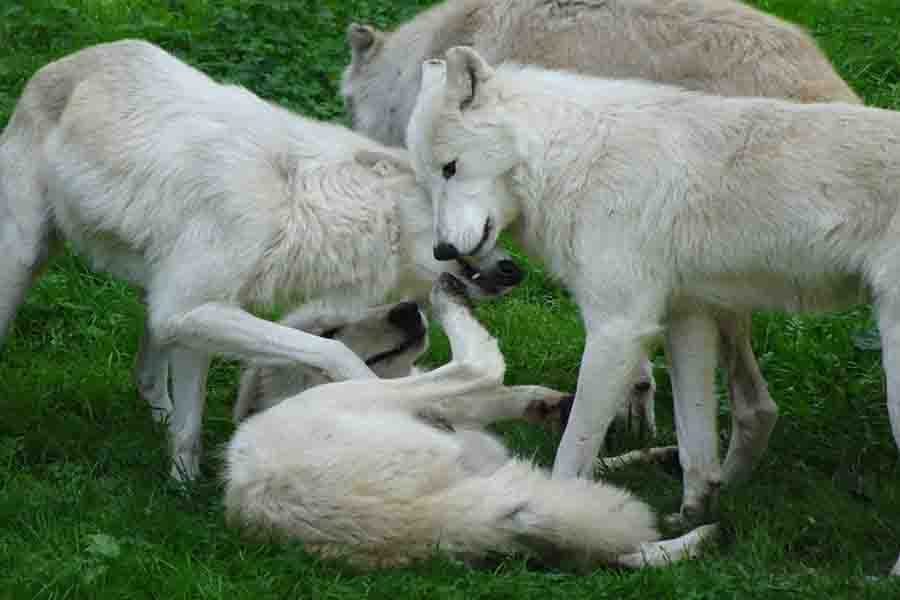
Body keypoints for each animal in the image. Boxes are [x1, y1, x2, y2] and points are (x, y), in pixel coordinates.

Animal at [0, 40, 524, 481]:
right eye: (450, 193)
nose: (513, 270)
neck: (298, 203)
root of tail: (59, 64)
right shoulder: (190, 309)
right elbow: (330, 351)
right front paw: (368, 393)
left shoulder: (195, 312)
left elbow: (189, 424)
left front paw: (184, 491)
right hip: (24, 266)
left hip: (160, 303)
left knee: (148, 378)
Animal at [407, 47, 900, 574]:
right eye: (427, 179)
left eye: (451, 168)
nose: (441, 250)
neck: (569, 161)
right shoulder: (688, 320)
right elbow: (695, 447)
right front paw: (692, 515)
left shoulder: (617, 329)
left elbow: (572, 451)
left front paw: (569, 515)